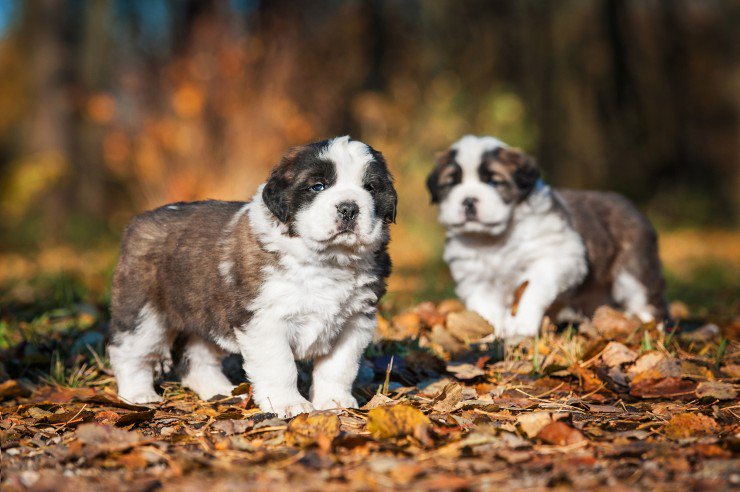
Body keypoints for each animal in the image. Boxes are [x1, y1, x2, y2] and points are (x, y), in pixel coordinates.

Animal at [107, 136, 396, 418]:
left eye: (370, 188)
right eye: (317, 186)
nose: (349, 208)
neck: (328, 261)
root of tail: (140, 221)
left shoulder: (355, 321)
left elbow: (339, 367)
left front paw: (335, 401)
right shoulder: (265, 320)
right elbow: (280, 366)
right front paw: (289, 405)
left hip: (206, 313)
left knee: (199, 357)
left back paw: (221, 392)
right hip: (143, 312)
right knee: (129, 352)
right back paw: (138, 395)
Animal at [428, 136, 664, 340]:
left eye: (494, 182)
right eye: (451, 184)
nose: (468, 200)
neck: (495, 240)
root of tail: (632, 205)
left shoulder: (556, 257)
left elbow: (533, 289)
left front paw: (521, 324)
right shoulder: (474, 277)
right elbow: (484, 308)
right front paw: (491, 333)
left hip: (634, 273)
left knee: (644, 301)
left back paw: (650, 328)